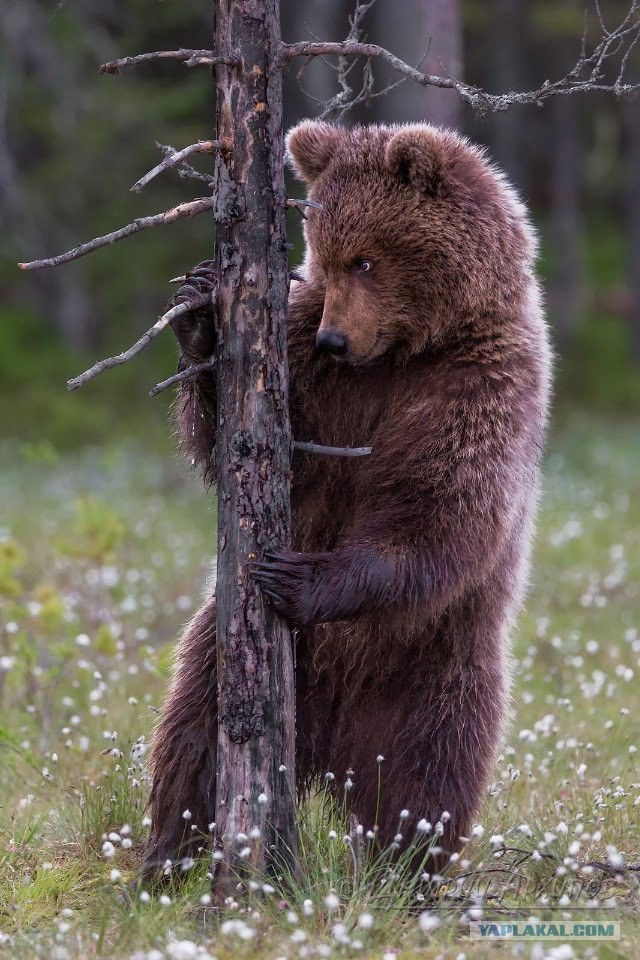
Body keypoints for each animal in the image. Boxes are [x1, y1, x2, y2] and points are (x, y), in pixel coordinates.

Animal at [142, 122, 552, 876]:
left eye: (366, 259)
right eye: (324, 260)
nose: (337, 337)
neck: (404, 352)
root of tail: (331, 748)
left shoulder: (481, 383)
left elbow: (442, 508)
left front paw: (298, 577)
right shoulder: (314, 373)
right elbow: (244, 445)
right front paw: (202, 317)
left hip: (433, 668)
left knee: (427, 781)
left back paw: (403, 874)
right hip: (231, 654)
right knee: (193, 738)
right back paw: (167, 860)